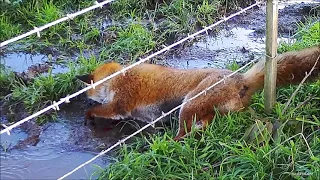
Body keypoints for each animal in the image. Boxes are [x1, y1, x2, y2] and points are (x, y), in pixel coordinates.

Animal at [77, 45, 320, 141]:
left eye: (88, 92)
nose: (85, 99)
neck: (119, 77)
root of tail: (240, 79)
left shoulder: (121, 104)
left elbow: (106, 110)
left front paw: (88, 116)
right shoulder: (144, 116)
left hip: (189, 104)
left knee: (183, 134)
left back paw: (170, 144)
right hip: (210, 111)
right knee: (202, 125)